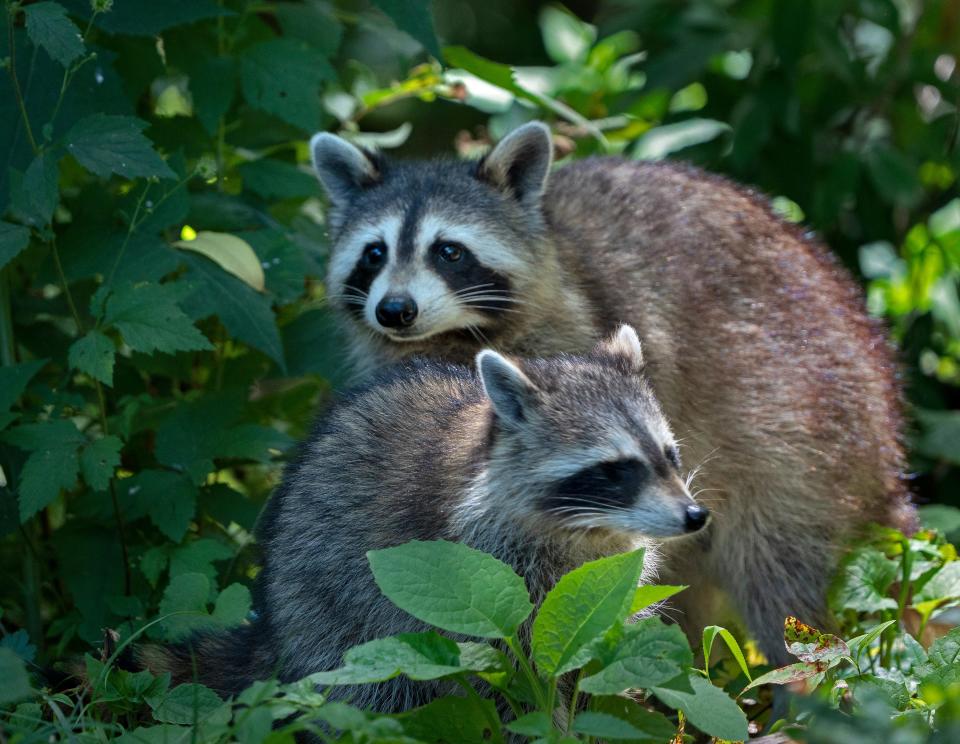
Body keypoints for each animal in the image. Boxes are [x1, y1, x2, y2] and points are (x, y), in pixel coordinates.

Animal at [139, 326, 708, 708]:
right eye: (615, 470)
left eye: (670, 455)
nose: (695, 516)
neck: (587, 531)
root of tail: (272, 631)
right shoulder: (481, 575)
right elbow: (510, 683)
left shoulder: (603, 585)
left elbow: (589, 666)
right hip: (328, 615)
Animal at [310, 122, 916, 664]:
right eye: (374, 253)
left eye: (449, 252)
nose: (395, 310)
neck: (451, 336)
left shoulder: (579, 331)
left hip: (799, 427)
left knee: (777, 571)